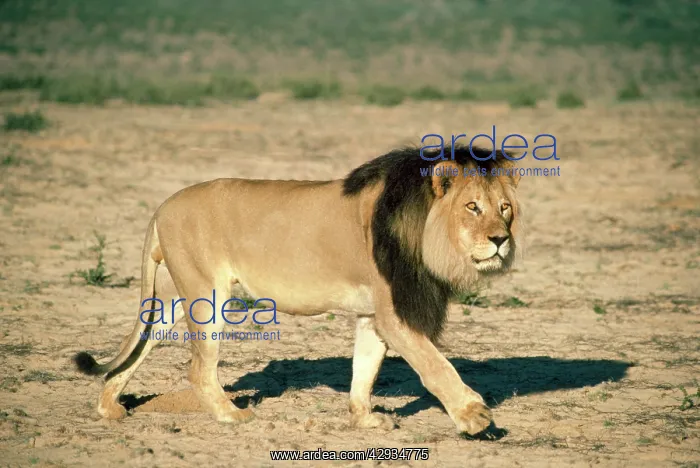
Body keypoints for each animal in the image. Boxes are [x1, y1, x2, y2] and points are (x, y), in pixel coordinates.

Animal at [74, 144, 522, 436]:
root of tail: (162, 205)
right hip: (209, 297)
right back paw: (231, 416)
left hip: (173, 299)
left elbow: (365, 370)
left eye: (505, 209)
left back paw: (108, 407)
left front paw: (364, 419)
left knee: (138, 346)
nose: (501, 240)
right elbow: (436, 366)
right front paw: (474, 416)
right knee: (199, 368)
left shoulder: (374, 314)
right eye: (472, 207)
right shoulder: (396, 313)